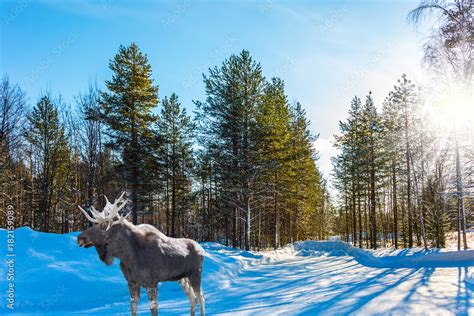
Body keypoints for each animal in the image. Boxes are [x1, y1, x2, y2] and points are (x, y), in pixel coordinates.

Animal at [77, 193, 205, 316]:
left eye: (103, 226)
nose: (79, 238)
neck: (128, 256)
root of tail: (201, 250)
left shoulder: (152, 282)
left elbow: (153, 309)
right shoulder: (132, 283)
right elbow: (133, 308)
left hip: (195, 274)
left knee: (201, 298)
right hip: (182, 278)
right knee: (193, 299)